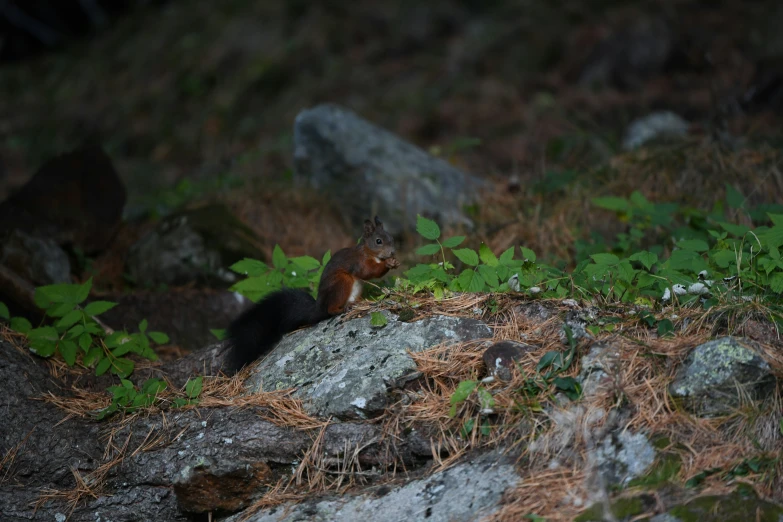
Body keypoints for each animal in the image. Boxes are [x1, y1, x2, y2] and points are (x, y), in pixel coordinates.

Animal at [225, 215, 398, 374]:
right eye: (378, 241)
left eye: (391, 238)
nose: (392, 252)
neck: (369, 253)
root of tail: (318, 307)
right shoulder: (358, 263)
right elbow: (367, 271)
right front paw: (388, 264)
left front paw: (394, 262)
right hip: (342, 282)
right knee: (330, 310)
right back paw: (342, 308)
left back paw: (359, 302)